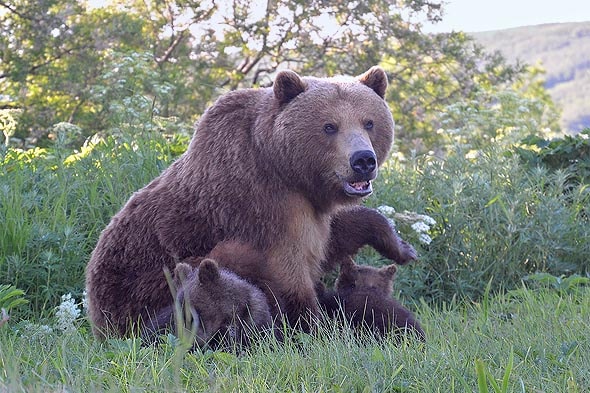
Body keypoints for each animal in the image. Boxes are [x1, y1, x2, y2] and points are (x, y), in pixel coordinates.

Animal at [85, 66, 416, 336]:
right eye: (329, 126)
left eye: (369, 122)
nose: (363, 160)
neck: (282, 166)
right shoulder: (260, 203)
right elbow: (287, 269)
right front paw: (318, 324)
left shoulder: (310, 206)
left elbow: (332, 238)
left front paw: (401, 247)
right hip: (139, 289)